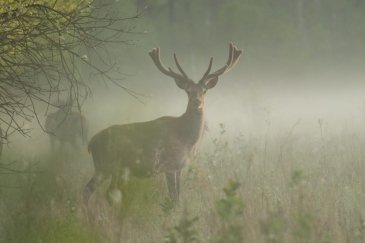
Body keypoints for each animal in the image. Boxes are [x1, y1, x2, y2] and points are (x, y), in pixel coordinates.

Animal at [83, 43, 242, 205]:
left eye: (204, 91)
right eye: (188, 91)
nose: (197, 102)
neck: (186, 139)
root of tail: (91, 143)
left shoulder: (179, 166)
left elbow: (178, 196)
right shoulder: (169, 164)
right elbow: (173, 198)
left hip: (116, 169)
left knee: (108, 192)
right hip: (104, 164)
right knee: (88, 189)